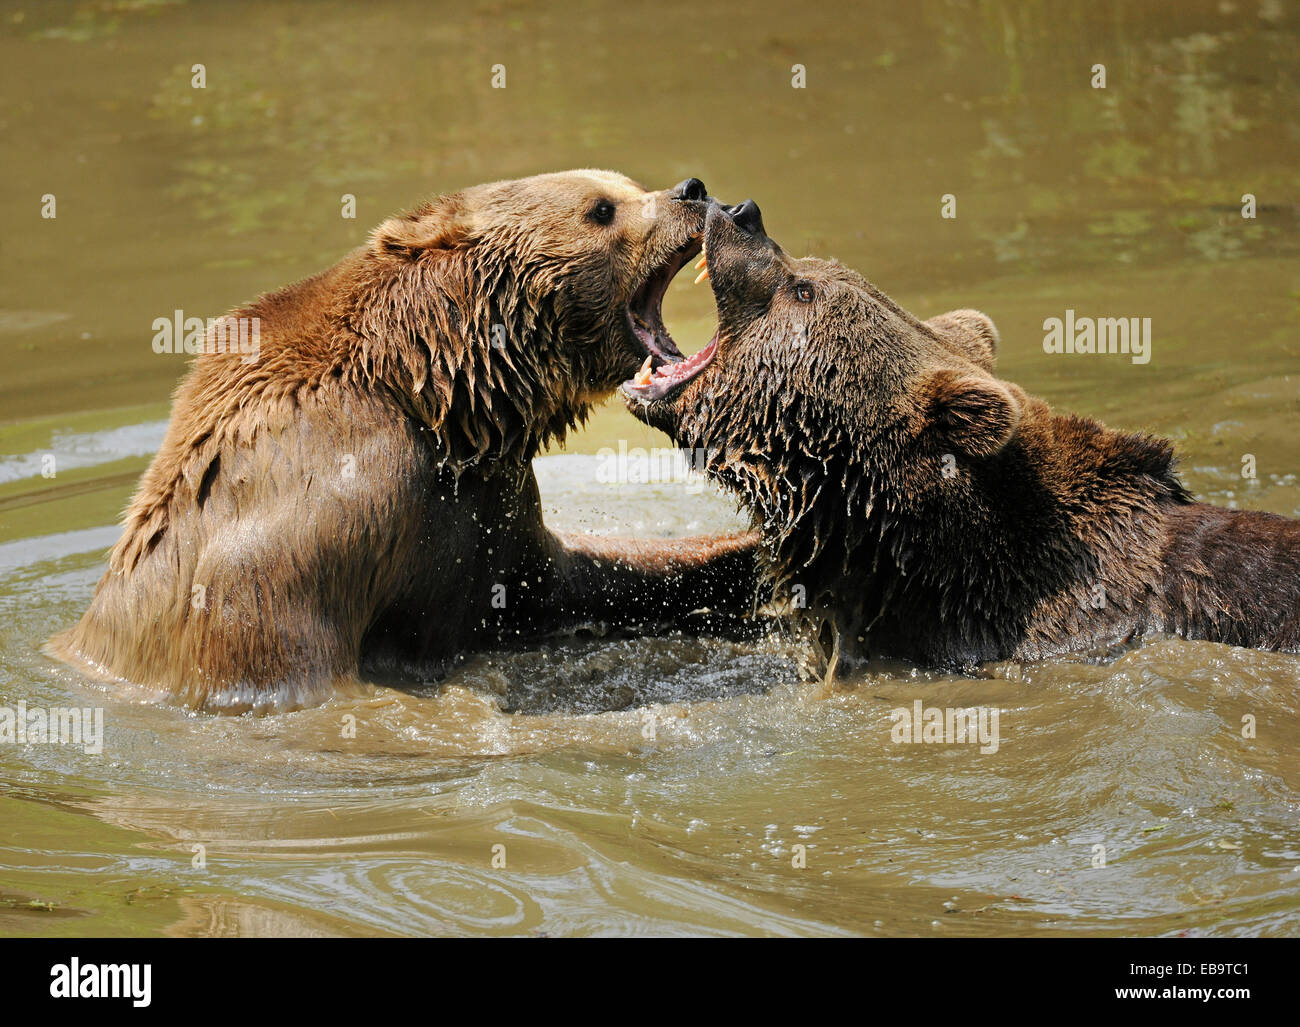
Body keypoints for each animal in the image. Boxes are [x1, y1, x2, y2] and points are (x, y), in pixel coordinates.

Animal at [50, 172, 759, 712]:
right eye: (601, 208)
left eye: (627, 184)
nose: (693, 190)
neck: (437, 393)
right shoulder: (321, 509)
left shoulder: (487, 509)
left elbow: (571, 578)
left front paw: (749, 558)